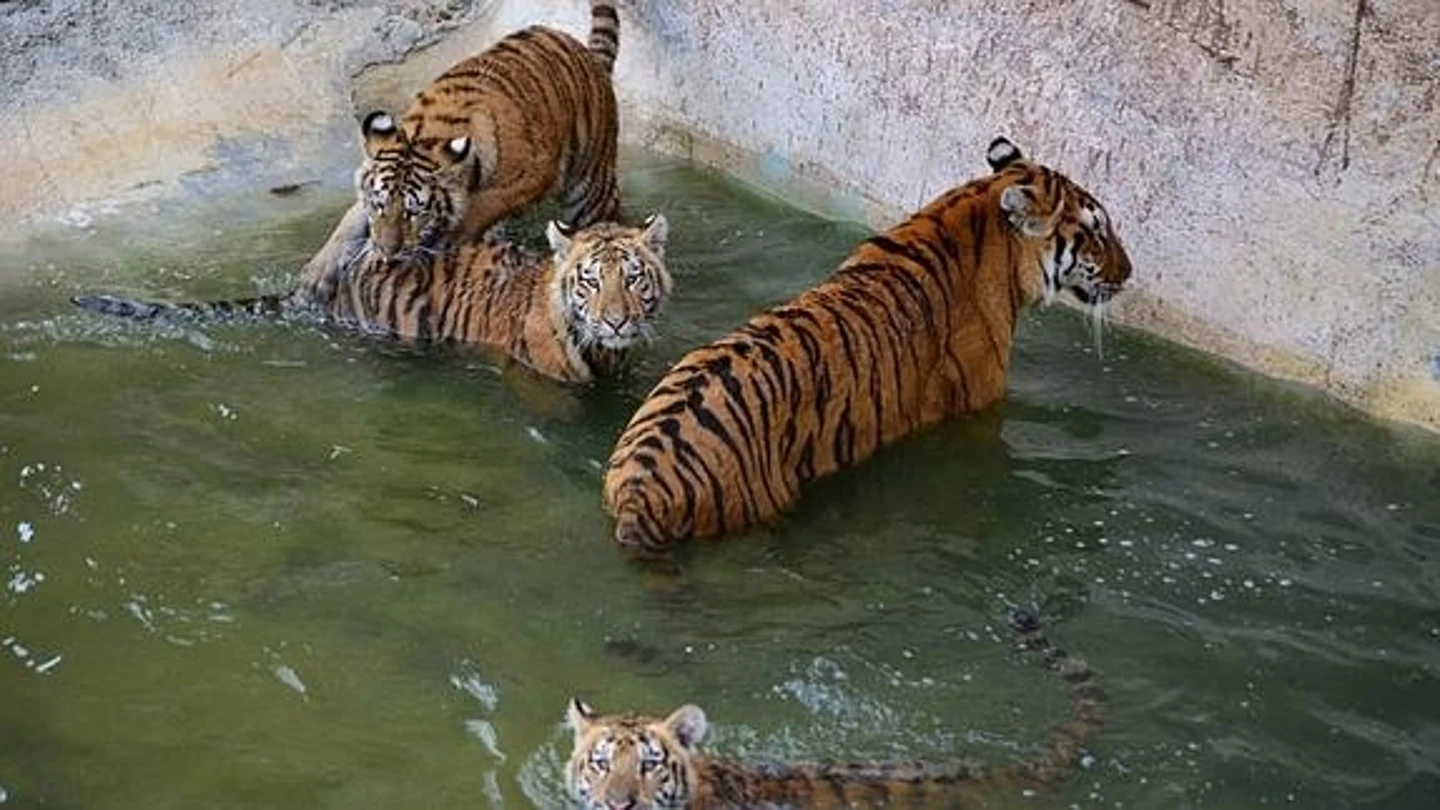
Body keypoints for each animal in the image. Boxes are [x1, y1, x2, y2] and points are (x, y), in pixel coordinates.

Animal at [352, 0, 623, 265]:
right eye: (378, 205)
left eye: (414, 213)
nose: (388, 252)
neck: (424, 132)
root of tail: (587, 54)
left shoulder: (532, 174)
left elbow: (483, 206)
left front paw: (455, 235)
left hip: (591, 189)